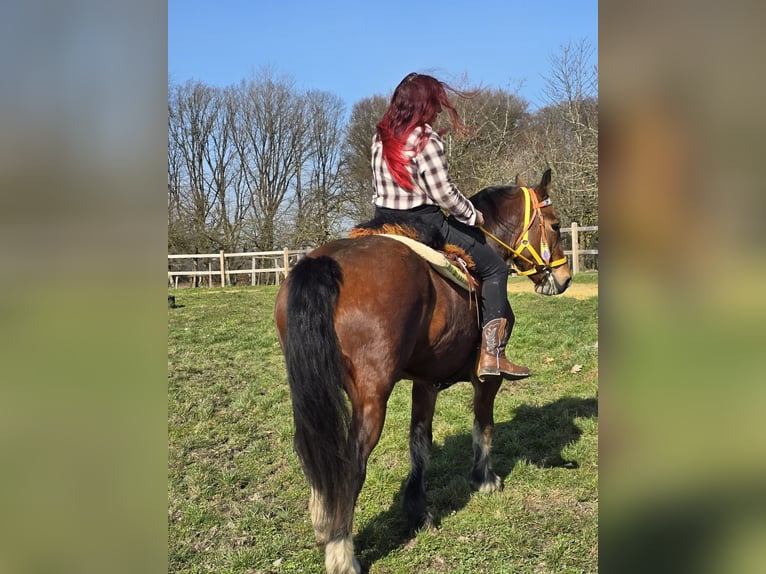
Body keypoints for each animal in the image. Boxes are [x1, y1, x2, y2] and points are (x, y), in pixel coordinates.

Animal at [274, 169, 572, 574]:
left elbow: (420, 443)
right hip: (371, 398)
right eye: (555, 225)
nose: (565, 277)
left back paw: (325, 526)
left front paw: (417, 511)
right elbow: (484, 425)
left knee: (316, 455)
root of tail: (325, 263)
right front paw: (485, 478)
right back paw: (341, 553)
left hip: (311, 395)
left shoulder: (425, 382)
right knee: (350, 464)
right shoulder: (488, 378)